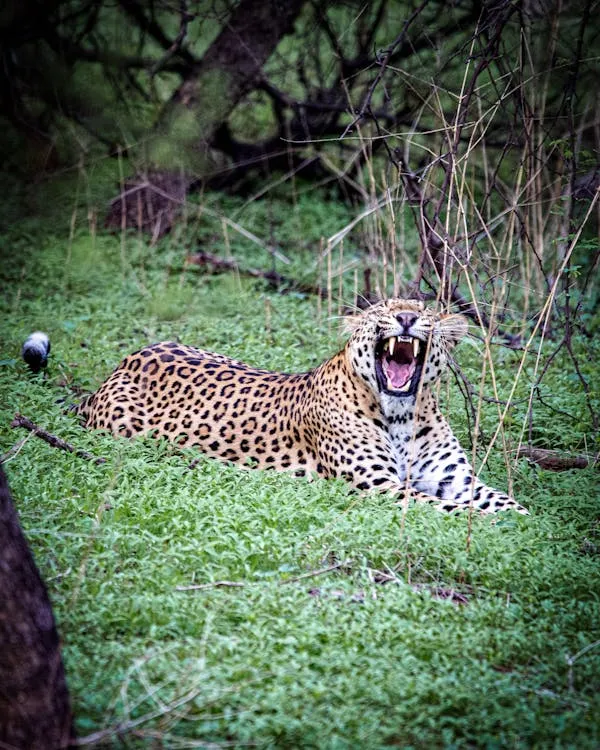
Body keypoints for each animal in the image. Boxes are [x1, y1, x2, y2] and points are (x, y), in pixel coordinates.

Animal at [72, 298, 527, 514]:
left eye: (424, 310)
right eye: (383, 308)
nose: (405, 318)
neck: (402, 415)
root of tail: (122, 362)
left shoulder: (458, 480)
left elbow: (506, 502)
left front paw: (534, 529)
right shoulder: (377, 487)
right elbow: (449, 508)